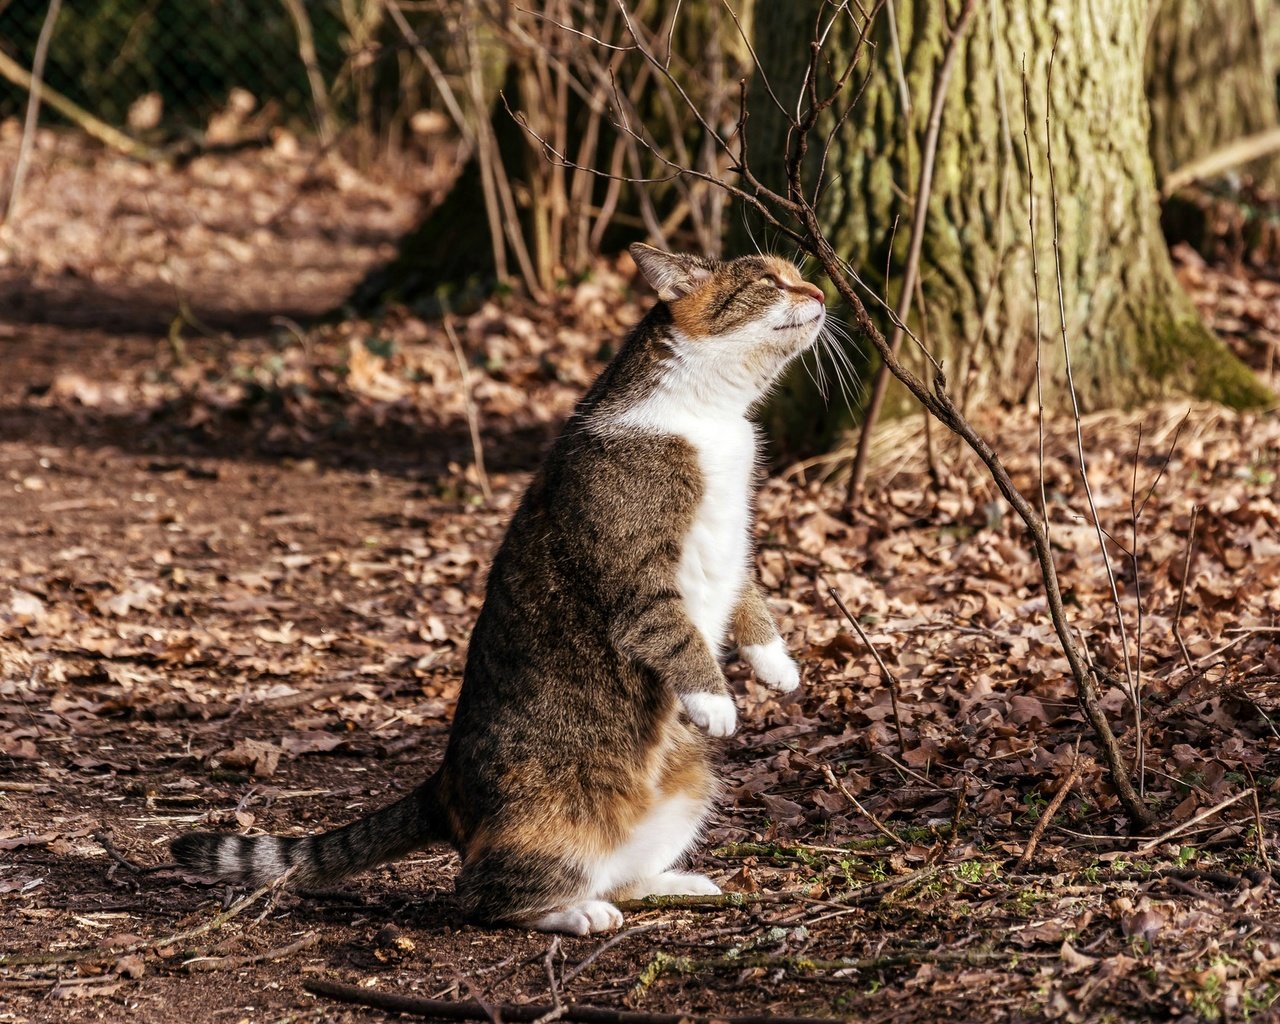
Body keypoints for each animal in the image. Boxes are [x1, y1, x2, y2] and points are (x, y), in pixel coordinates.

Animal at [170, 241, 824, 936]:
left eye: (797, 274)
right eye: (769, 280)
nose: (818, 293)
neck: (714, 417)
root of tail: (443, 785)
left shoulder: (734, 541)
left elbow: (748, 593)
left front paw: (775, 665)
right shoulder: (635, 570)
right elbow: (673, 631)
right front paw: (715, 701)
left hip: (690, 785)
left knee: (618, 874)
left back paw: (668, 882)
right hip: (549, 817)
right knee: (484, 893)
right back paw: (574, 914)